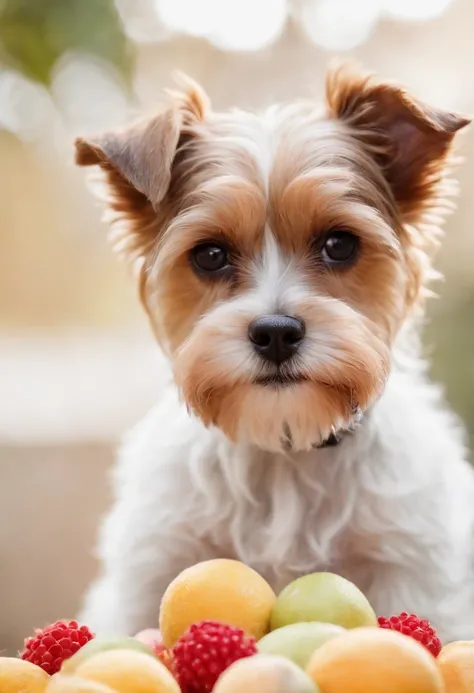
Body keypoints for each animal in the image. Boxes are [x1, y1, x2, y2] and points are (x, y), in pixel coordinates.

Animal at [73, 63, 474, 636]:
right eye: (210, 254)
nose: (277, 332)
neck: (284, 447)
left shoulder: (416, 572)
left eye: (339, 244)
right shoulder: (153, 567)